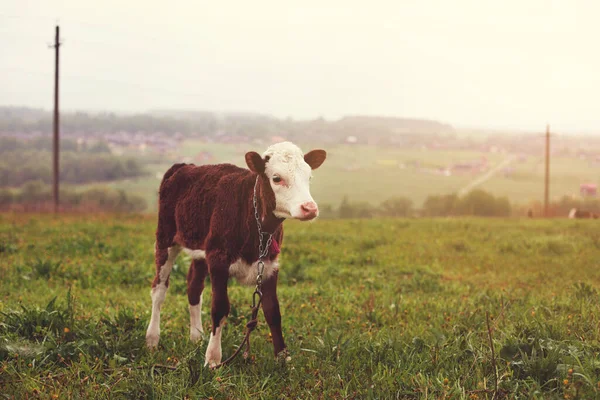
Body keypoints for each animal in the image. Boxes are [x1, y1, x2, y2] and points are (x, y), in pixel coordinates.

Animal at [145, 142, 326, 368]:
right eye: (276, 178)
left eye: (309, 177)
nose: (309, 208)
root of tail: (185, 166)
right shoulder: (218, 260)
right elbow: (220, 307)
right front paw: (213, 359)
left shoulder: (270, 264)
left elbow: (273, 311)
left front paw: (283, 358)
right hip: (166, 238)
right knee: (159, 288)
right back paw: (152, 339)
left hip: (201, 249)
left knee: (194, 287)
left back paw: (196, 337)